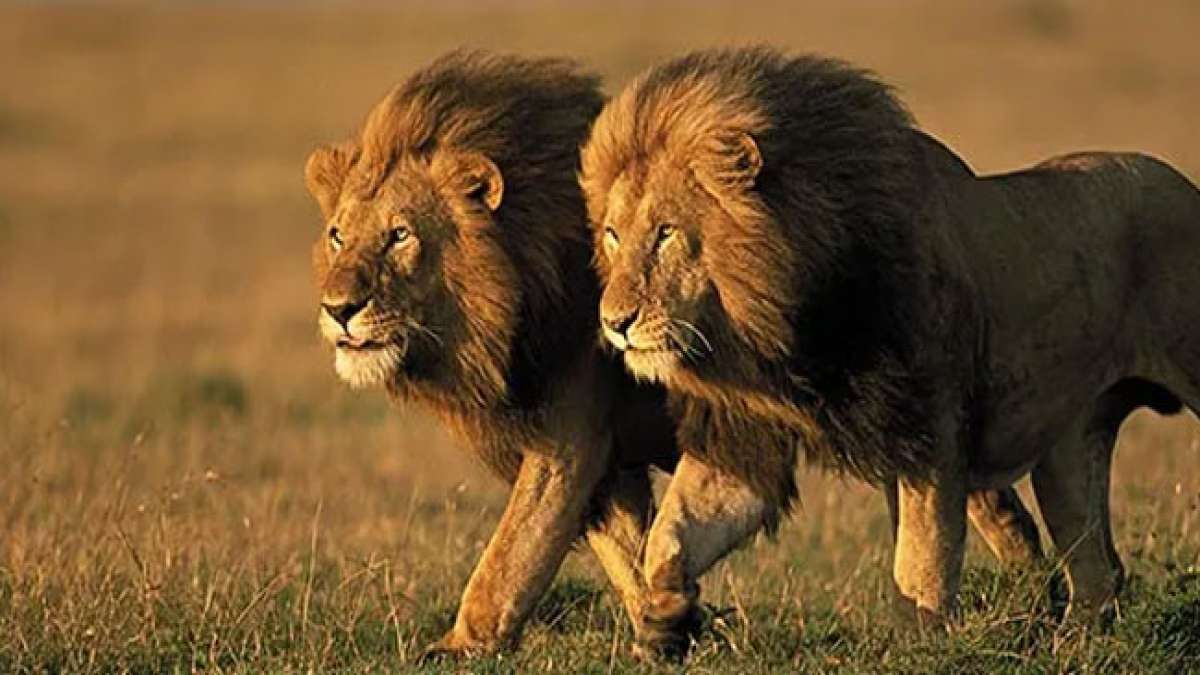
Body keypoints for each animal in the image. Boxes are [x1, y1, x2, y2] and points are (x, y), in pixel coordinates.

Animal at [303, 50, 683, 657]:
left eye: (400, 235)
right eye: (338, 236)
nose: (339, 308)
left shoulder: (570, 437)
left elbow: (512, 553)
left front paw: (460, 645)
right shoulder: (607, 457)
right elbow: (631, 550)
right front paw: (668, 628)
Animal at [581, 46, 1200, 651]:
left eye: (665, 233)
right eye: (612, 235)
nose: (614, 323)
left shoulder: (931, 430)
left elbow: (921, 561)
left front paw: (921, 647)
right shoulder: (746, 432)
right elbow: (670, 537)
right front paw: (664, 620)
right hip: (1070, 447)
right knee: (1097, 571)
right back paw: (1074, 644)